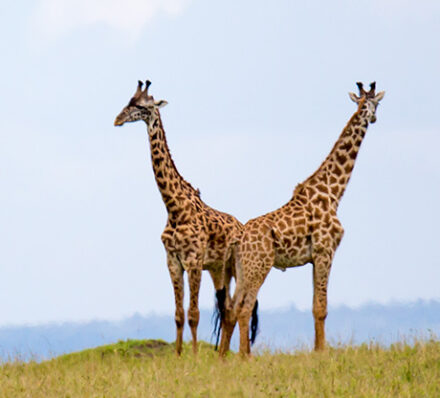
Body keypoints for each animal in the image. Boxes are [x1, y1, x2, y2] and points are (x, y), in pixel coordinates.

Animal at [113, 80, 244, 354]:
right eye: (128, 101)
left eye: (141, 106)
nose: (117, 120)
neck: (174, 208)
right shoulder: (173, 262)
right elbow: (178, 315)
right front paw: (178, 354)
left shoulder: (193, 261)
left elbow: (193, 314)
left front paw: (193, 356)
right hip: (219, 269)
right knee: (227, 309)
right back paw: (223, 353)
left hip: (236, 267)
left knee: (241, 307)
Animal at [220, 81, 384, 358]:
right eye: (373, 104)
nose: (372, 118)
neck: (333, 193)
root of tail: (238, 239)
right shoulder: (325, 251)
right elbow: (321, 307)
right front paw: (322, 352)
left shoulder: (313, 258)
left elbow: (314, 305)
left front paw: (317, 349)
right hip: (259, 266)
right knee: (245, 308)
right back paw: (245, 357)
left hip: (242, 268)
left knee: (231, 309)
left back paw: (223, 357)